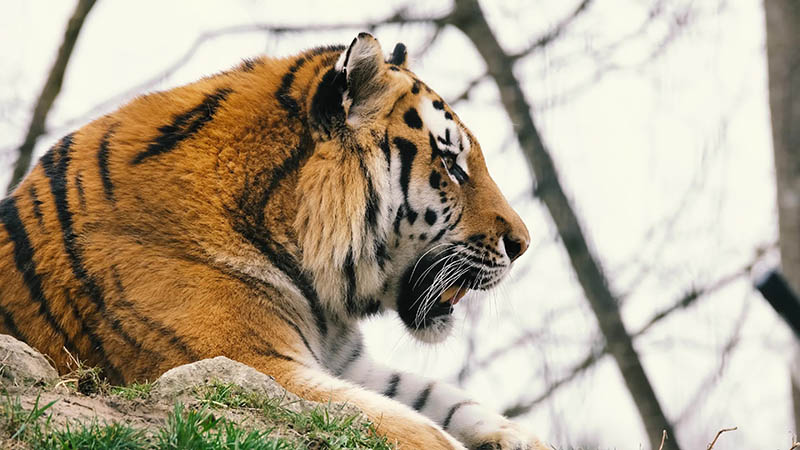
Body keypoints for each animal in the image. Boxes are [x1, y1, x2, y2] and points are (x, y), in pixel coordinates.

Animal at [0, 33, 544, 448]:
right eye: (452, 166)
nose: (522, 244)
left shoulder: (346, 362)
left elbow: (448, 401)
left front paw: (522, 438)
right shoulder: (250, 363)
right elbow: (416, 427)